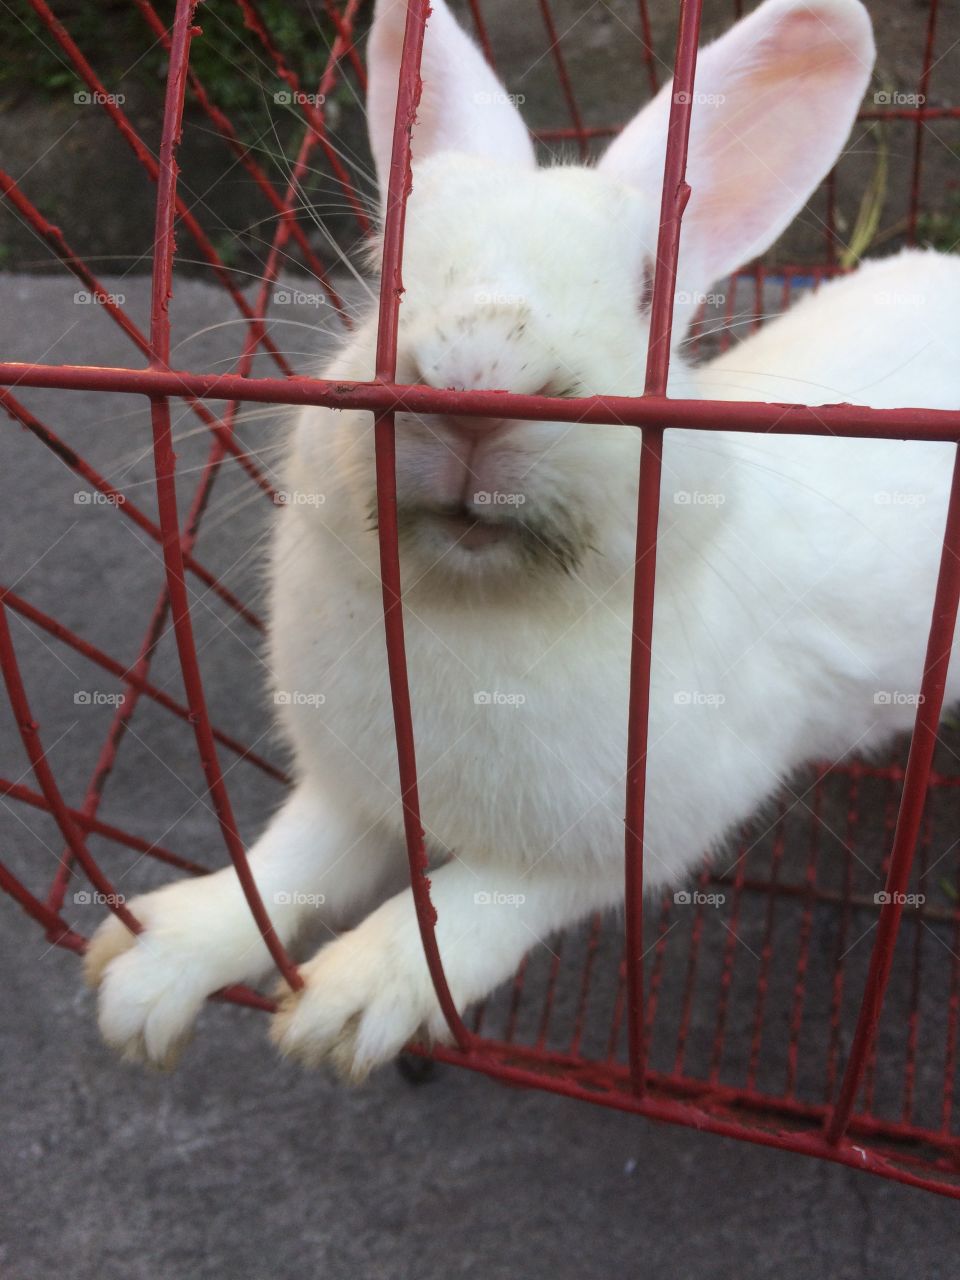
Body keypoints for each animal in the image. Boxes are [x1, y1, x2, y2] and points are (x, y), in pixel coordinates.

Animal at [86, 0, 960, 1080]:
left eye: (648, 293)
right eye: (388, 270)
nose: (478, 374)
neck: (480, 601)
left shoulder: (622, 839)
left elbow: (472, 909)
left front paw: (350, 1005)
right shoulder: (348, 791)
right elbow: (285, 864)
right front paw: (147, 974)